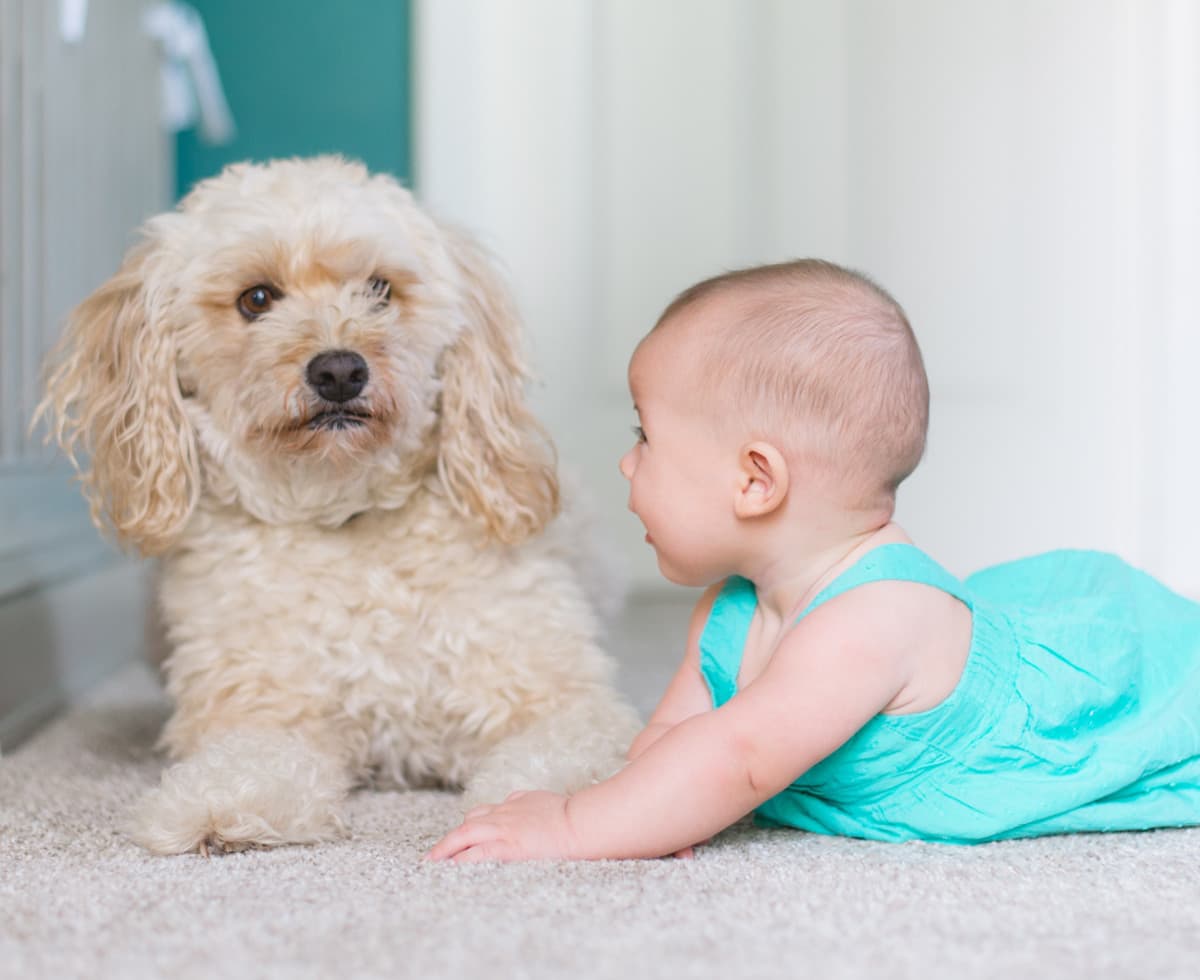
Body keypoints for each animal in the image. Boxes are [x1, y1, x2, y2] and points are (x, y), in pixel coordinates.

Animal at [37, 154, 643, 854]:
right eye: (257, 299)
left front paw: (549, 810)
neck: (343, 514)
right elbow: (251, 760)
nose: (338, 372)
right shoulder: (262, 708)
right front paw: (221, 804)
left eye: (380, 289)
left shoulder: (560, 699)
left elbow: (566, 756)